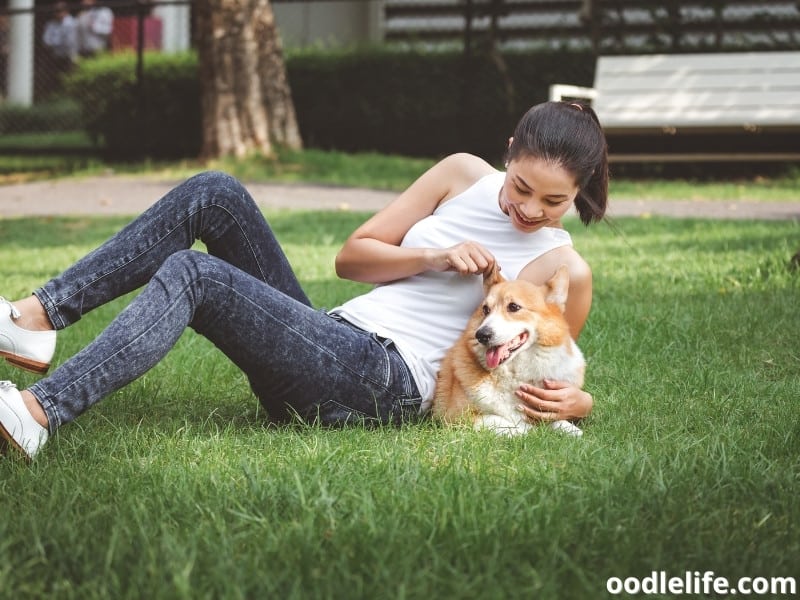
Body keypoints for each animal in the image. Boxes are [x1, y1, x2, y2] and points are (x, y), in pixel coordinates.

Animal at [434, 266, 584, 436]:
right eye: (486, 309)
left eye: (513, 307)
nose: (481, 335)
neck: (515, 374)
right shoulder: (457, 417)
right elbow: (503, 422)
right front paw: (528, 430)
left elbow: (558, 420)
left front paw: (569, 429)